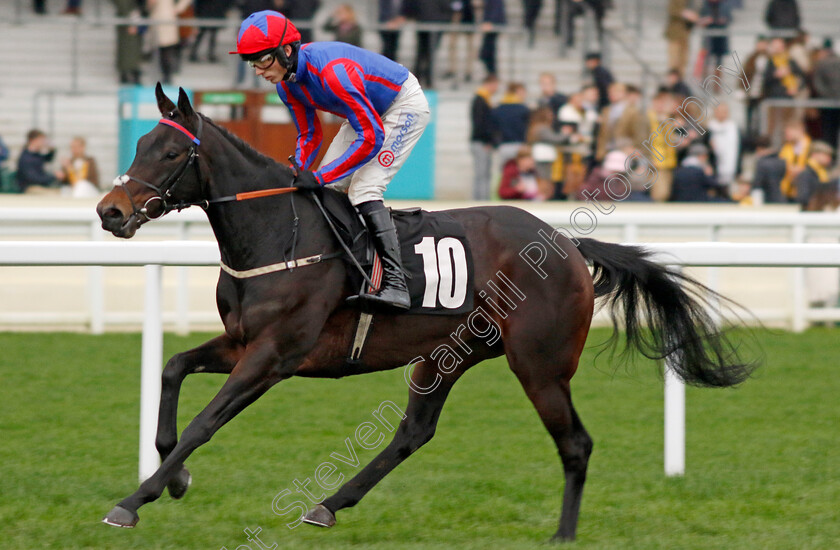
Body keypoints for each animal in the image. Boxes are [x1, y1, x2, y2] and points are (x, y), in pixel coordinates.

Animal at [95, 86, 752, 544]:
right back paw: (328, 505)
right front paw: (175, 476)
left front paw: (135, 499)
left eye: (171, 152)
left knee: (576, 443)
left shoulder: (275, 355)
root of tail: (566, 244)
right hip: (446, 355)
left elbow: (205, 423)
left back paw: (563, 534)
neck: (276, 232)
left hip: (538, 364)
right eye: (138, 145)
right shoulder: (241, 342)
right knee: (414, 431)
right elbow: (173, 370)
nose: (109, 211)